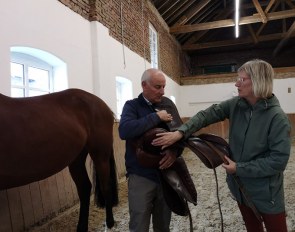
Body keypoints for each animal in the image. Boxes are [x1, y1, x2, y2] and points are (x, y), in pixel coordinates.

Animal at [0, 88, 120, 230]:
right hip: (76, 160)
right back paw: (81, 227)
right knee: (84, 188)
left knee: (105, 186)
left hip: (100, 155)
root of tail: (104, 106)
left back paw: (110, 222)